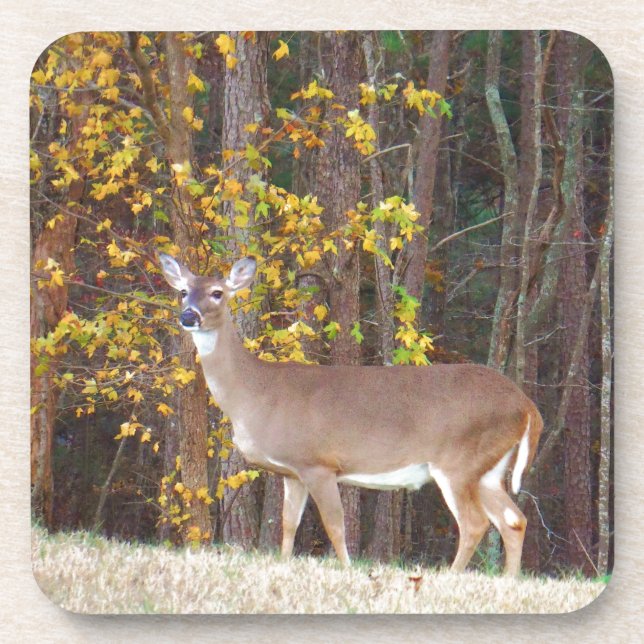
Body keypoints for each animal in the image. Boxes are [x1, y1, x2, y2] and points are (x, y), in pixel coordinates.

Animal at [159, 253, 543, 576]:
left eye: (217, 292)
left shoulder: (319, 463)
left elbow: (335, 525)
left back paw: (451, 576)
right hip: (488, 469)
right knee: (514, 519)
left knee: (476, 523)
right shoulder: (292, 471)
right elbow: (288, 525)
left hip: (459, 461)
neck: (255, 393)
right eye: (183, 291)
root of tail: (527, 406)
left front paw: (346, 569)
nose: (188, 316)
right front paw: (285, 563)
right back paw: (509, 579)